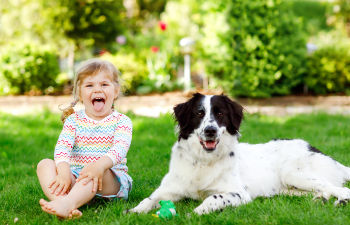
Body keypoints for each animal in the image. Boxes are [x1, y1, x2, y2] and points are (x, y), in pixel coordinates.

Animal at [131, 92, 350, 214]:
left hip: (293, 173)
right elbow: (148, 200)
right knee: (325, 190)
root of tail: (313, 147)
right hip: (286, 187)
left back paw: (341, 201)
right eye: (199, 113)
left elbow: (213, 198)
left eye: (220, 113)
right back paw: (321, 199)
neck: (203, 161)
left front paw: (197, 211)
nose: (210, 131)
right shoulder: (168, 189)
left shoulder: (239, 193)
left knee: (340, 189)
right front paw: (132, 211)